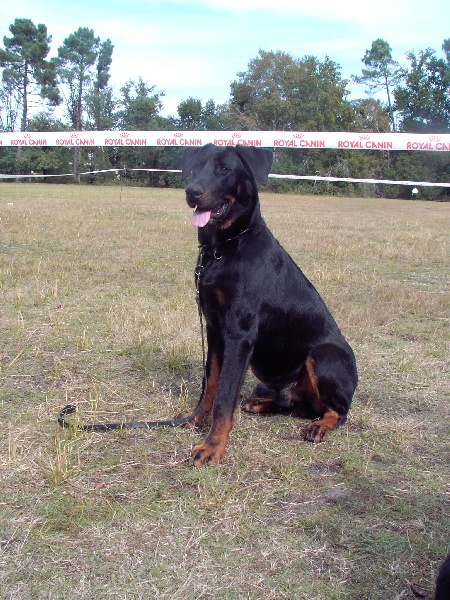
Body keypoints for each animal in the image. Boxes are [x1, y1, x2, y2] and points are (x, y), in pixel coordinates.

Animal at [181, 143, 356, 466]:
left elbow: (224, 397)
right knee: (296, 404)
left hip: (324, 355)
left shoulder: (239, 335)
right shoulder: (214, 328)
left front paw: (212, 447)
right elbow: (210, 384)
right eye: (196, 167)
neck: (224, 248)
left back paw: (319, 427)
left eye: (224, 169)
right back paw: (261, 404)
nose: (192, 192)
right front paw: (195, 419)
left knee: (337, 412)